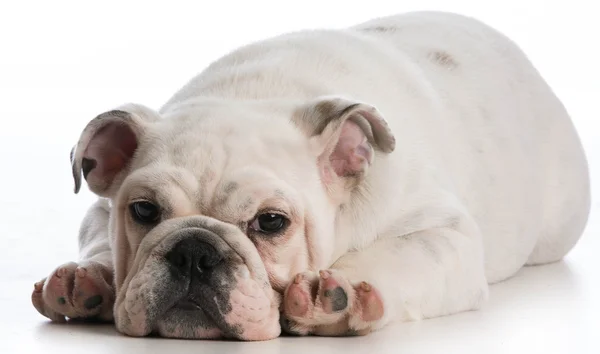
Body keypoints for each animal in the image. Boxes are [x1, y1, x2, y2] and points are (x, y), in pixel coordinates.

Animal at [30, 11, 588, 340]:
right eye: (144, 211)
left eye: (272, 222)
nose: (194, 250)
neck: (251, 96)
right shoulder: (100, 208)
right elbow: (100, 240)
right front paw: (90, 277)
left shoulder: (446, 234)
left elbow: (397, 254)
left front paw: (338, 293)